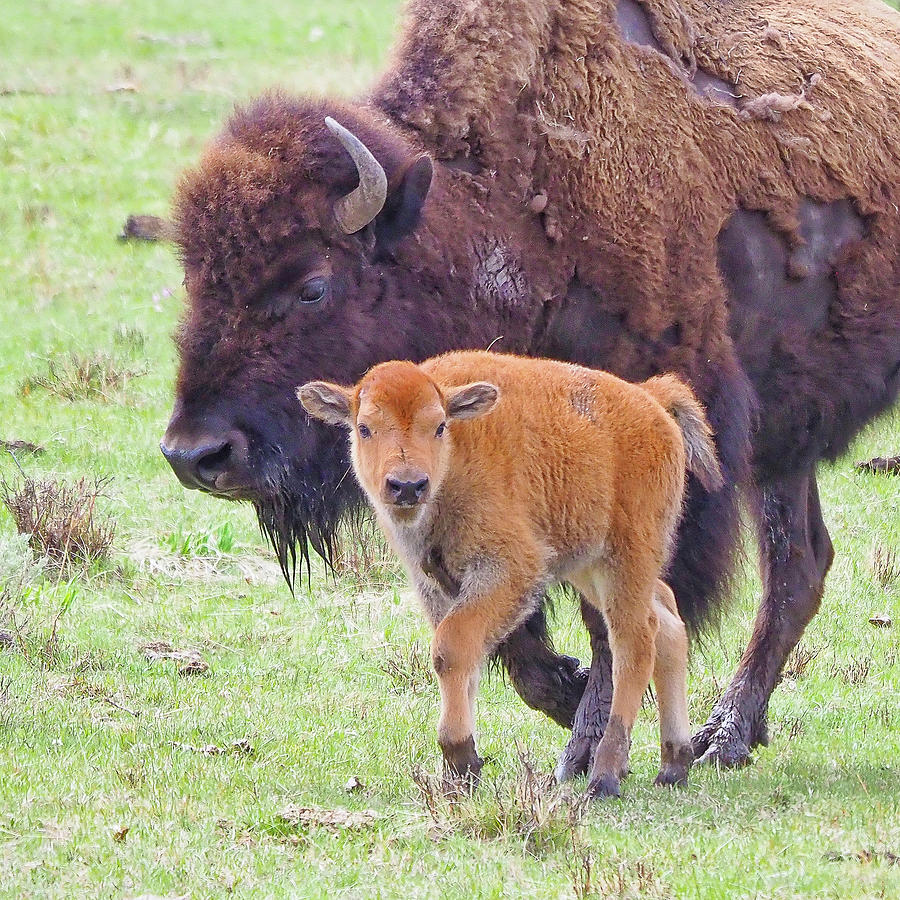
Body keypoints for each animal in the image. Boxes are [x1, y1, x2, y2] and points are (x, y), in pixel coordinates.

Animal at [298, 352, 720, 796]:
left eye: (439, 426)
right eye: (364, 428)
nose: (408, 486)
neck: (455, 458)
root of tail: (652, 401)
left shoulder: (511, 570)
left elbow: (451, 647)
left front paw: (460, 759)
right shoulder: (436, 586)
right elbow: (459, 660)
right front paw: (459, 773)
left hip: (627, 558)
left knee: (635, 643)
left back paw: (605, 775)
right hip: (591, 567)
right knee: (668, 622)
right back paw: (674, 765)